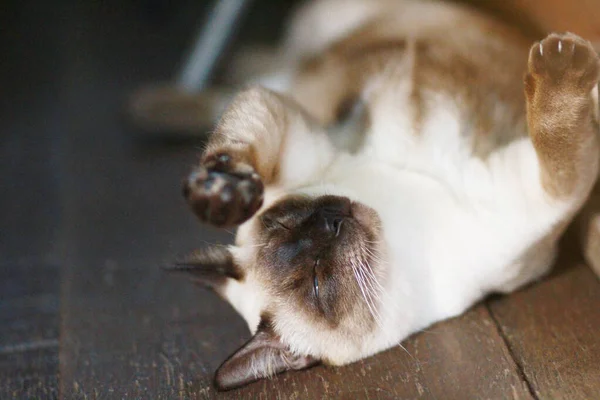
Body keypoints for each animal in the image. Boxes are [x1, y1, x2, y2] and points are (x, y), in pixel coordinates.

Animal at [161, 0, 600, 390]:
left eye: (288, 221)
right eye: (317, 283)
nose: (331, 222)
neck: (405, 226)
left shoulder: (289, 123)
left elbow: (236, 149)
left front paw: (221, 193)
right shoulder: (537, 192)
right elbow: (558, 144)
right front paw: (565, 63)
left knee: (254, 77)